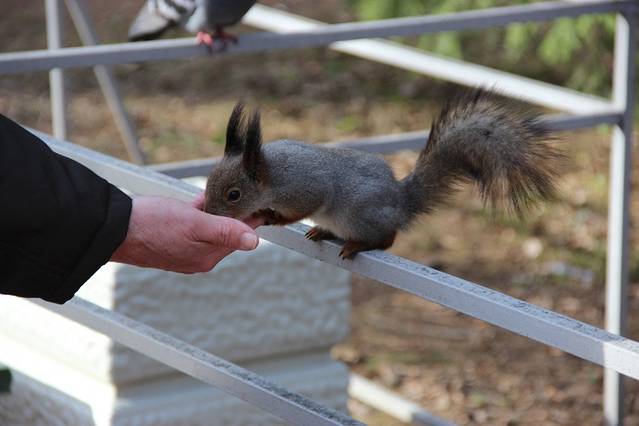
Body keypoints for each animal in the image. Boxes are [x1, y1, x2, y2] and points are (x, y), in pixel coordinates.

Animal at [205, 88, 560, 258]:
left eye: (234, 194)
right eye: (208, 182)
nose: (208, 212)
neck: (272, 173)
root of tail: (402, 204)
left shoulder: (305, 187)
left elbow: (303, 207)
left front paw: (271, 215)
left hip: (362, 215)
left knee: (387, 239)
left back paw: (357, 245)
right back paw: (324, 232)